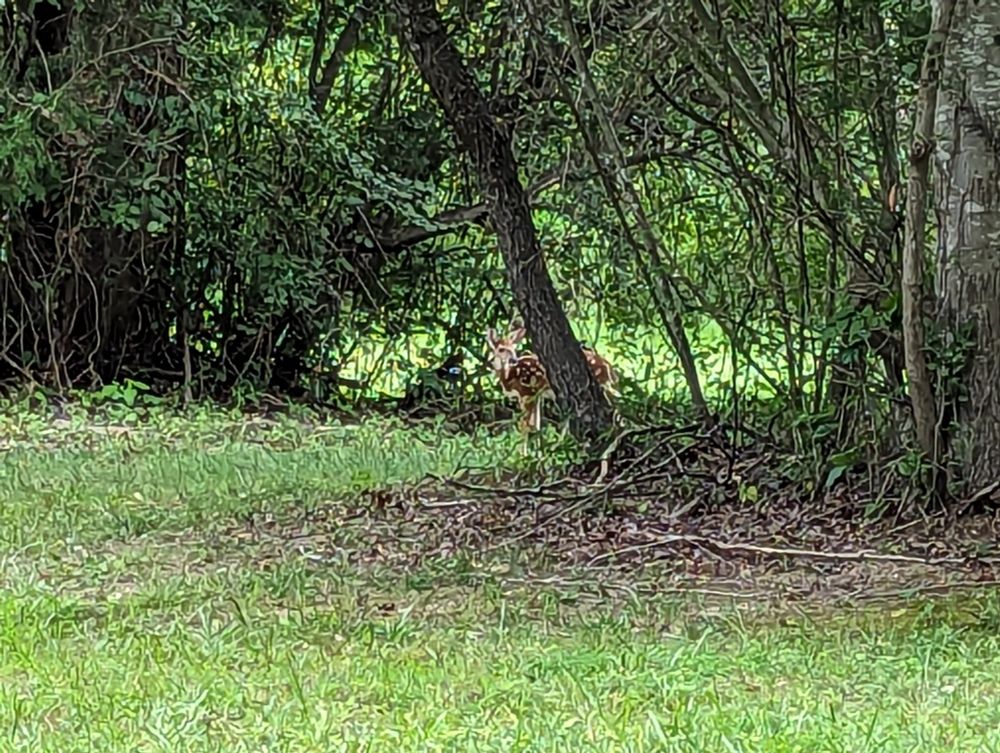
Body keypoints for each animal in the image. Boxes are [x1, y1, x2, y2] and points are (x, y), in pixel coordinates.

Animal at [486, 324, 617, 434]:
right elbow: (536, 426)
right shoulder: (536, 395)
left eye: (513, 349)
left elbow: (526, 426)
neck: (509, 376)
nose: (513, 359)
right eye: (501, 349)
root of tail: (611, 371)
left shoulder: (527, 392)